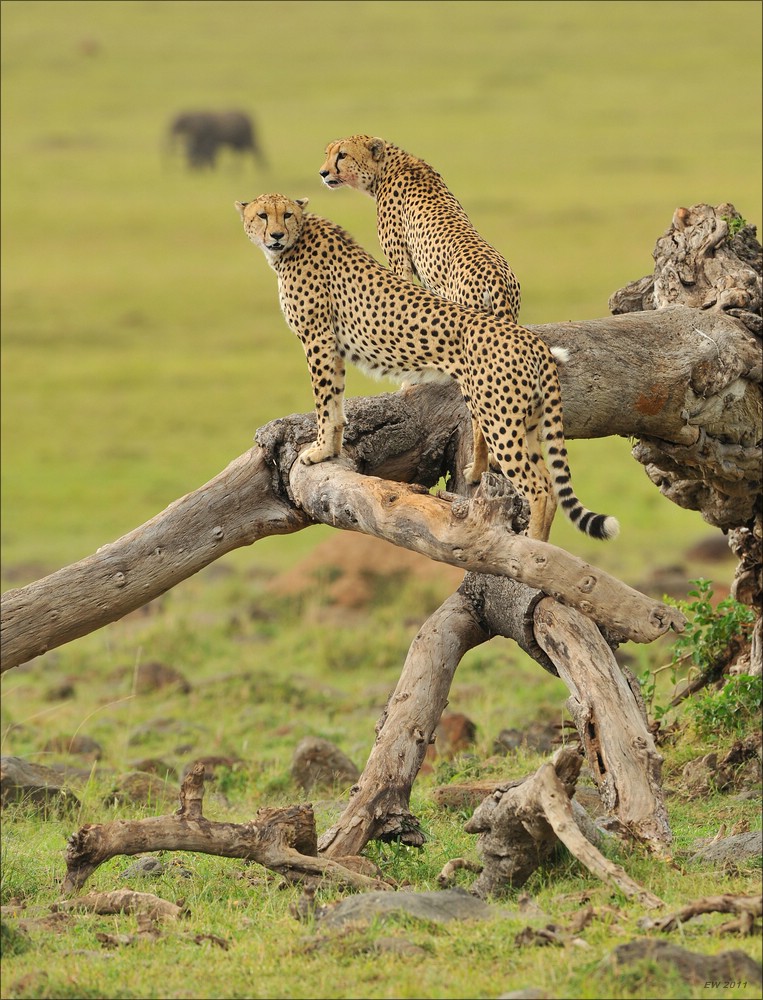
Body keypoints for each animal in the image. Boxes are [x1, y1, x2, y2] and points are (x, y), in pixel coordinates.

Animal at [236, 191, 616, 544]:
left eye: (286, 214)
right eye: (262, 215)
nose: (276, 235)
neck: (296, 242)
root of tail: (532, 340)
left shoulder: (318, 340)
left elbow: (324, 403)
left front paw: (318, 451)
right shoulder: (332, 347)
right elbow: (336, 401)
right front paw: (330, 449)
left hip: (501, 421)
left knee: (540, 488)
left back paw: (532, 550)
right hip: (529, 419)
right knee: (548, 482)